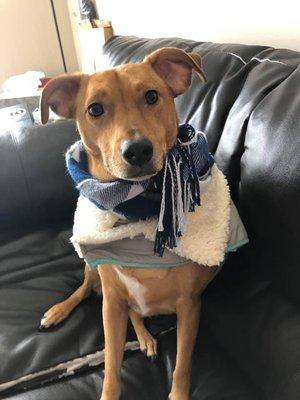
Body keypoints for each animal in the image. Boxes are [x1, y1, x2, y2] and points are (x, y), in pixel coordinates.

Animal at [40, 47, 218, 400]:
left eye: (152, 96)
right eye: (95, 109)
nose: (137, 150)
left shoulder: (190, 306)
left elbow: (182, 364)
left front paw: (178, 392)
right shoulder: (111, 304)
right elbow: (111, 366)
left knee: (136, 311)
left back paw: (146, 337)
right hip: (94, 272)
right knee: (86, 289)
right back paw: (58, 310)